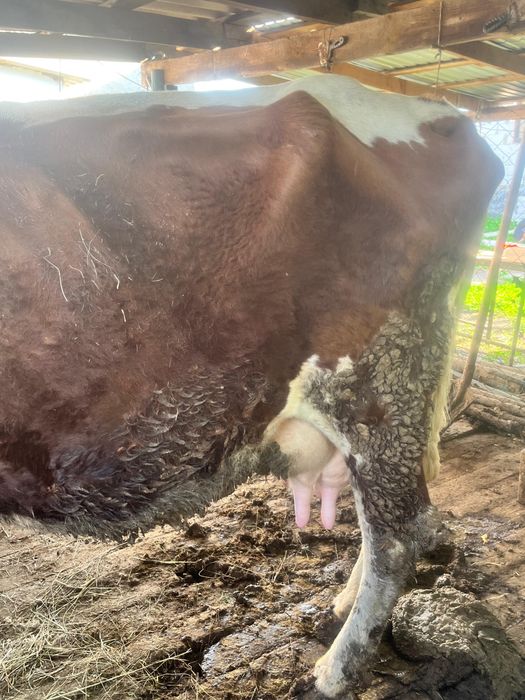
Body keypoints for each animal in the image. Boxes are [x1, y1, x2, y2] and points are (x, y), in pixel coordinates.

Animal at [0, 76, 502, 697]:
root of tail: (439, 112)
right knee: (383, 519)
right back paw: (341, 607)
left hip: (377, 384)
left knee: (400, 532)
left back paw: (334, 671)